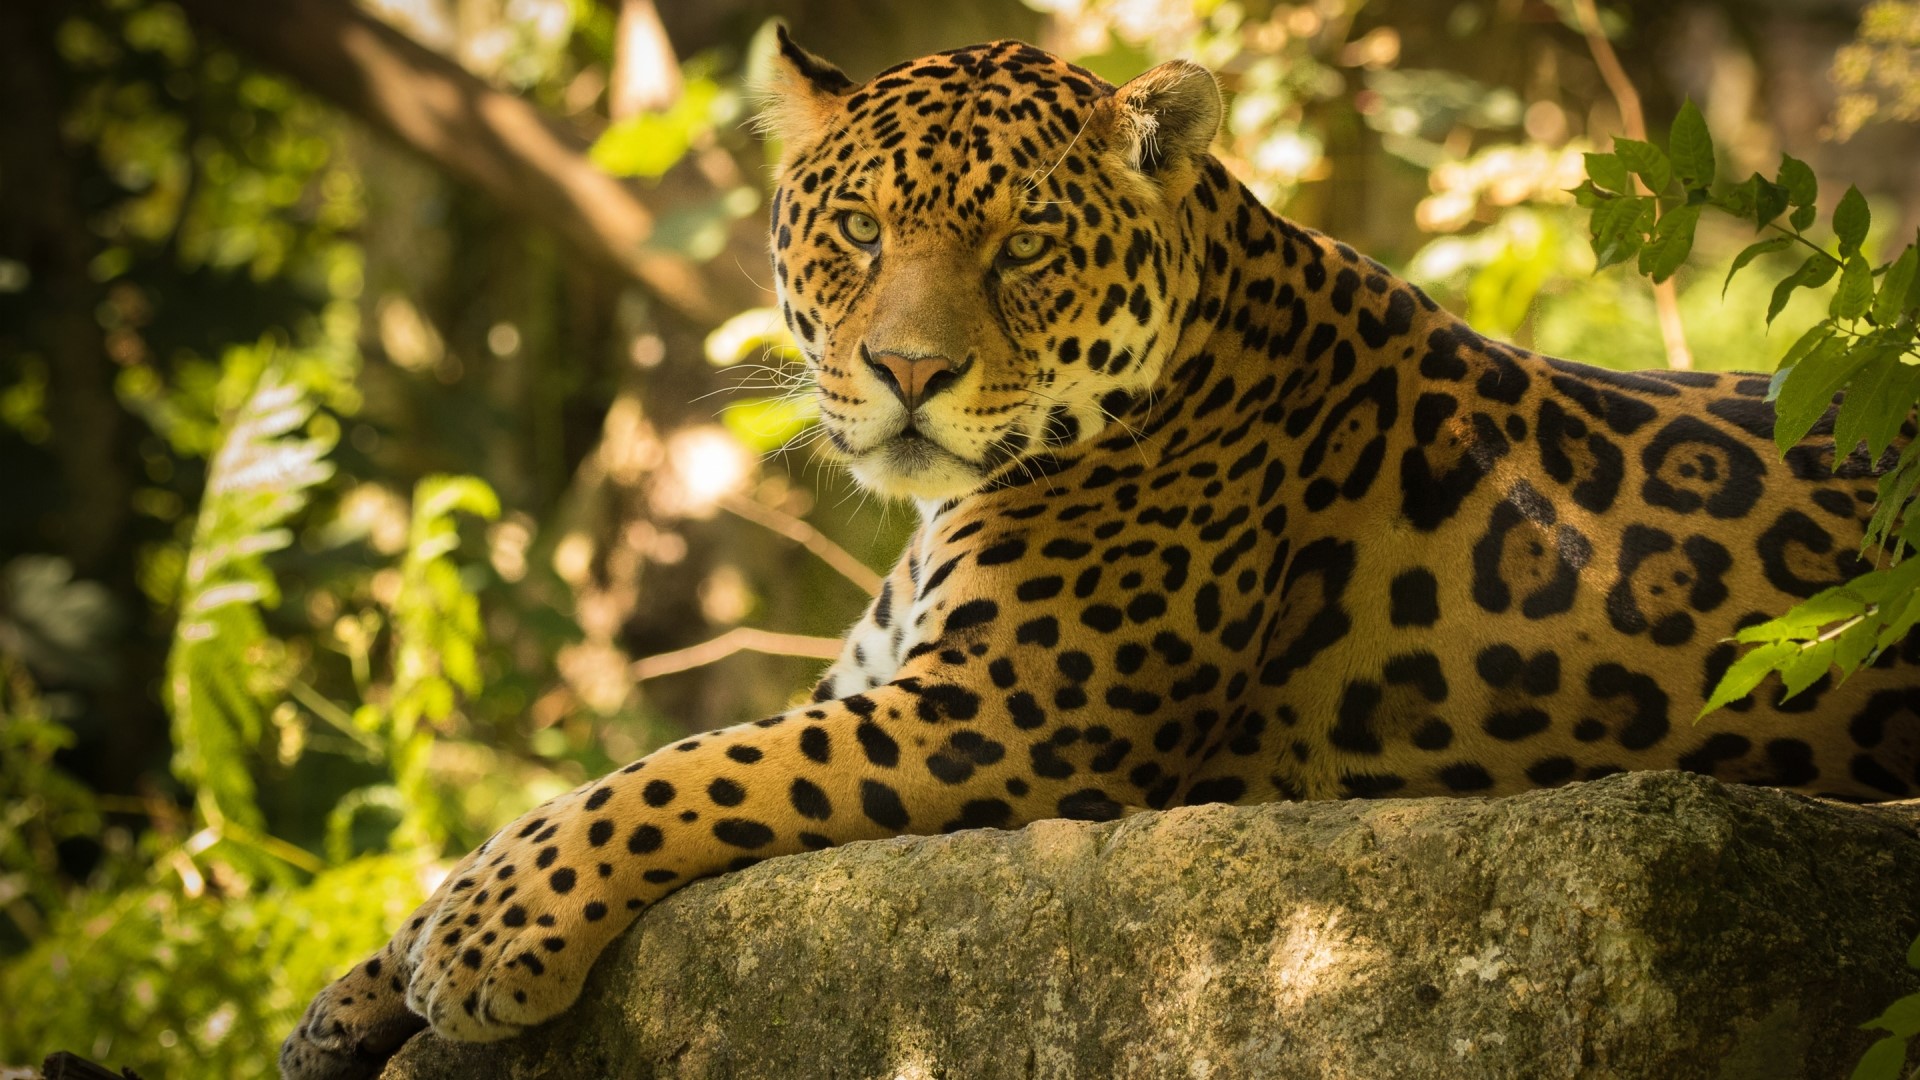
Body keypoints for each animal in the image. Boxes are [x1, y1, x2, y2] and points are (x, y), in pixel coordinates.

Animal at [280, 29, 1920, 1079]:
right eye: (859, 230)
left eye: (1023, 246)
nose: (908, 372)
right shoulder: (883, 684)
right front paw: (352, 1000)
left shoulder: (1002, 715)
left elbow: (679, 771)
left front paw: (488, 937)